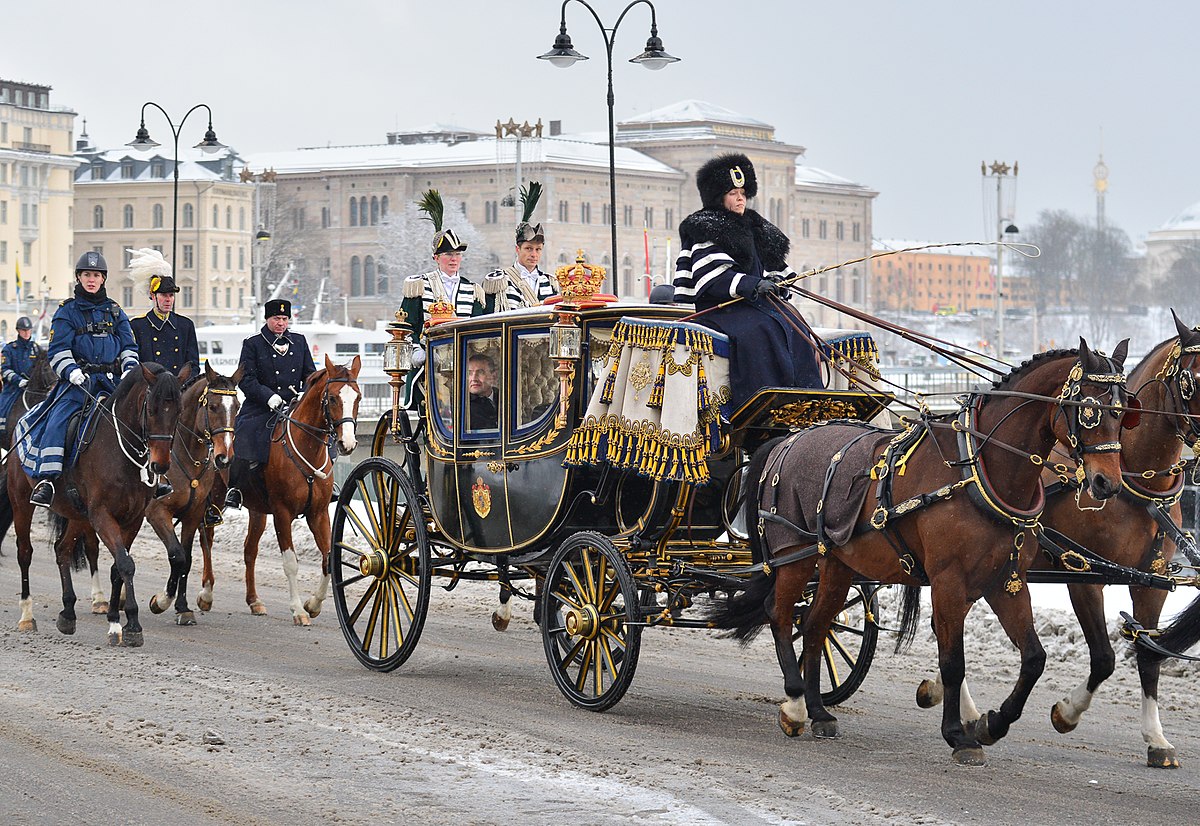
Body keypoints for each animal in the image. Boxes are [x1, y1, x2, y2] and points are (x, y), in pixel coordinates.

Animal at [0, 367, 184, 643]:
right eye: (151, 409)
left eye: (178, 411)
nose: (160, 465)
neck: (119, 453)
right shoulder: (101, 515)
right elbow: (125, 564)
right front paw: (128, 624)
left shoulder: (133, 518)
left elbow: (119, 565)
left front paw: (118, 620)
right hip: (22, 502)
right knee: (25, 553)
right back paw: (27, 615)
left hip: (78, 514)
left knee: (62, 549)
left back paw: (67, 612)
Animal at [142, 360, 241, 624]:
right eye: (213, 406)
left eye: (237, 407)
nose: (225, 457)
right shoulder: (157, 512)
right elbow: (176, 555)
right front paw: (161, 601)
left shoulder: (193, 514)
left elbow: (186, 559)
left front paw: (183, 607)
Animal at [236, 350, 357, 624]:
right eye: (332, 398)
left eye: (358, 397)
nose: (347, 444)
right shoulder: (282, 514)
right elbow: (290, 563)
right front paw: (299, 610)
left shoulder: (319, 514)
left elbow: (328, 558)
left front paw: (314, 604)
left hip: (256, 510)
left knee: (250, 550)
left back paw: (254, 601)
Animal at [705, 338, 1128, 763]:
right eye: (1089, 409)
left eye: (1123, 411)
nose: (1107, 483)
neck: (978, 468)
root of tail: (789, 439)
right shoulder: (948, 582)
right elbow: (953, 661)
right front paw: (958, 733)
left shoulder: (1005, 582)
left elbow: (1034, 658)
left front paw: (992, 723)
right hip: (796, 555)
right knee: (779, 613)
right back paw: (794, 704)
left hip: (838, 564)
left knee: (813, 624)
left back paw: (819, 711)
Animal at [912, 312, 1195, 768]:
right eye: (1194, 379)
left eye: (1124, 413)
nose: (1103, 484)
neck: (1138, 485)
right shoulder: (1083, 576)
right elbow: (1104, 658)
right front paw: (1067, 712)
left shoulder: (1148, 580)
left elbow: (1149, 656)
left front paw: (1156, 739)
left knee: (946, 626)